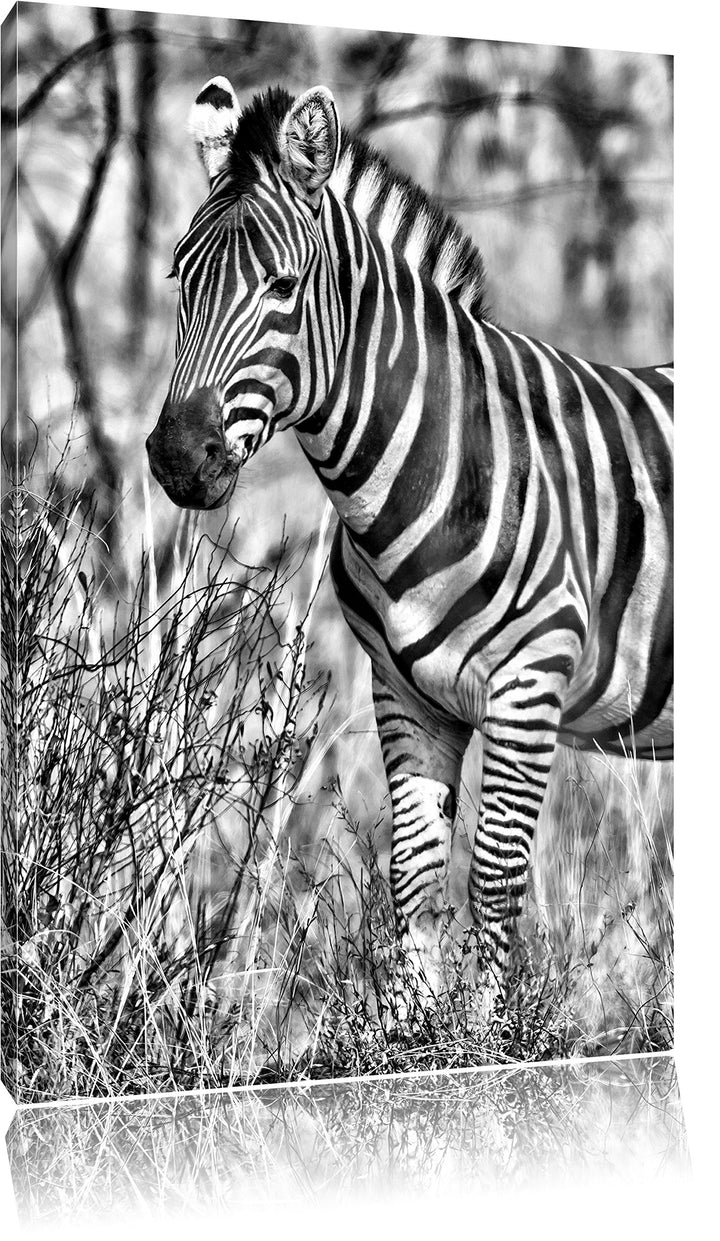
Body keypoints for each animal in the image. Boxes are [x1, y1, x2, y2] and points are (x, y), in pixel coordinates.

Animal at [146, 80, 673, 996]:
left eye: (283, 284)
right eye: (182, 277)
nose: (179, 456)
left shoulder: (530, 684)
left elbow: (493, 881)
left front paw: (487, 1032)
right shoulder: (406, 695)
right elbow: (415, 877)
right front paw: (408, 1027)